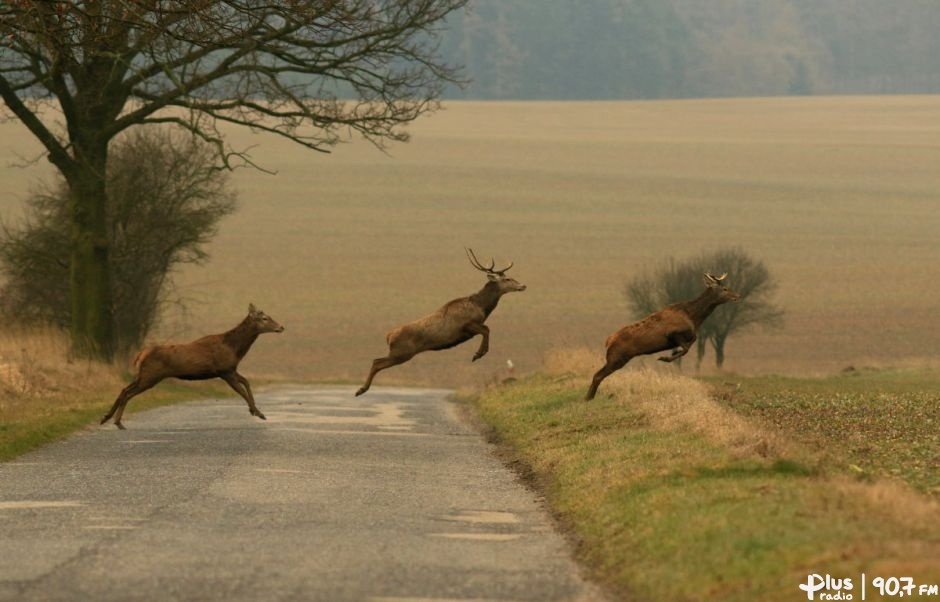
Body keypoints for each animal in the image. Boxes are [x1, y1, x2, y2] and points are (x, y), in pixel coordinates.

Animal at [354, 246, 524, 396]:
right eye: (507, 278)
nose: (523, 285)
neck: (481, 307)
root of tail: (388, 336)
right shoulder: (466, 325)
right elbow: (487, 329)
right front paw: (478, 354)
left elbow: (487, 329)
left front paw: (478, 353)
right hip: (401, 352)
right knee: (377, 362)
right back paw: (360, 390)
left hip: (400, 353)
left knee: (376, 361)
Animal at [584, 272, 740, 398]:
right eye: (725, 289)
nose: (737, 296)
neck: (694, 318)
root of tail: (608, 341)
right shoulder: (672, 332)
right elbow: (686, 347)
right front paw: (665, 358)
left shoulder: (686, 335)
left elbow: (691, 341)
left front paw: (671, 354)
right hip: (617, 357)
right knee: (598, 375)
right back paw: (588, 398)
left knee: (598, 374)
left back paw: (589, 397)